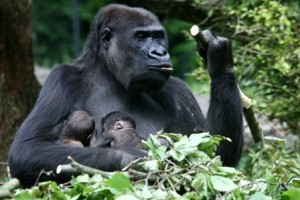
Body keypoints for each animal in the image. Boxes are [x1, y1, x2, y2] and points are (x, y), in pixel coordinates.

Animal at [8, 3, 244, 187]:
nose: (160, 52)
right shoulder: (61, 78)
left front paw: (219, 60)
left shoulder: (178, 90)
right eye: (140, 37)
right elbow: (28, 149)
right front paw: (133, 158)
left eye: (159, 37)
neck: (111, 75)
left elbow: (211, 157)